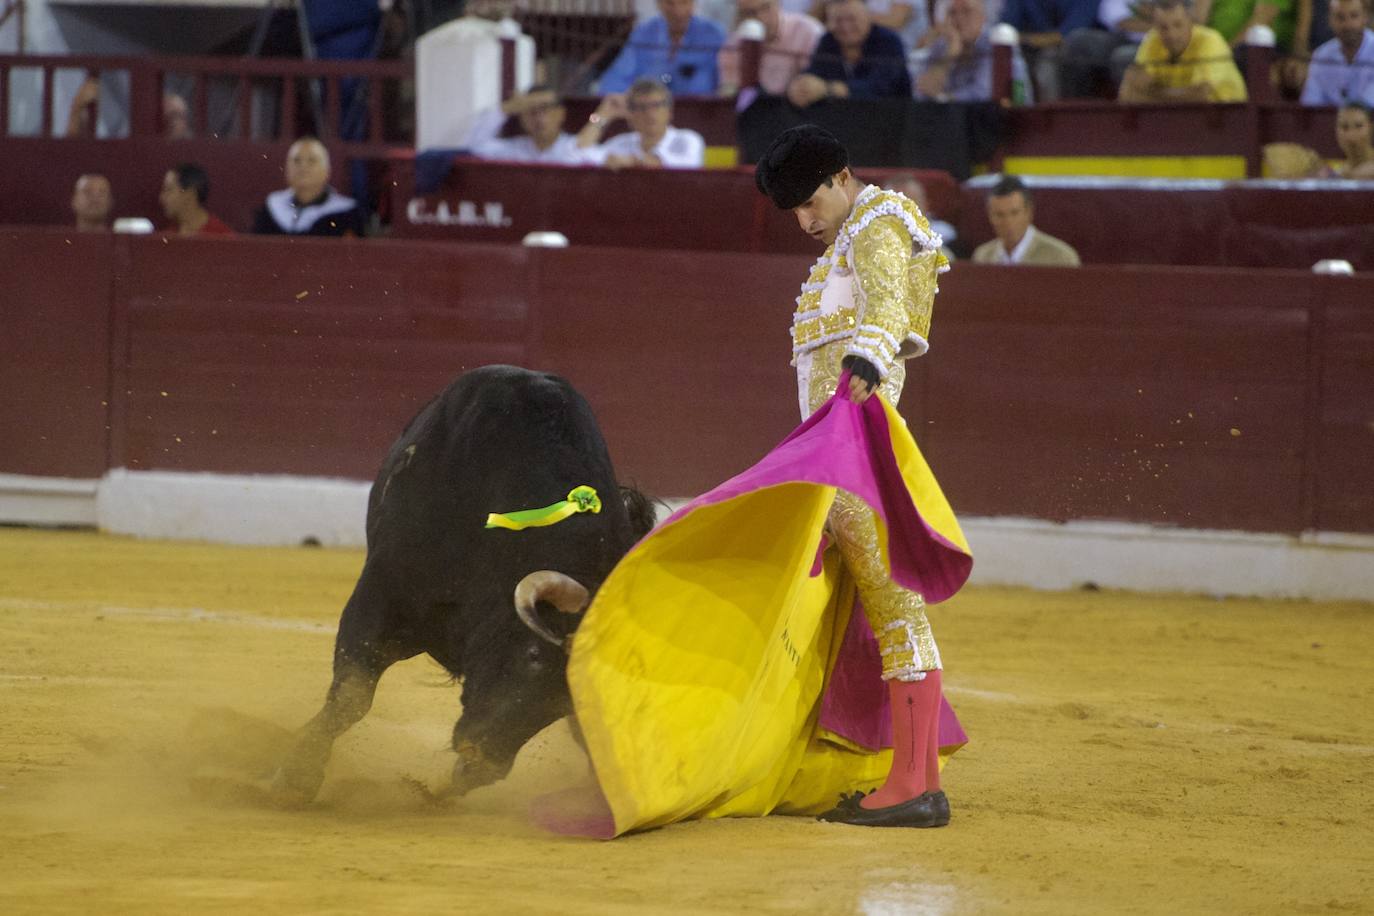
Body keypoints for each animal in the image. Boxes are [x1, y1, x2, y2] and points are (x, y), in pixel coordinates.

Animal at [270, 365, 656, 802]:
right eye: (532, 656)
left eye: (568, 698)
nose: (482, 759)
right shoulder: (382, 592)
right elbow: (351, 695)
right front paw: (294, 779)